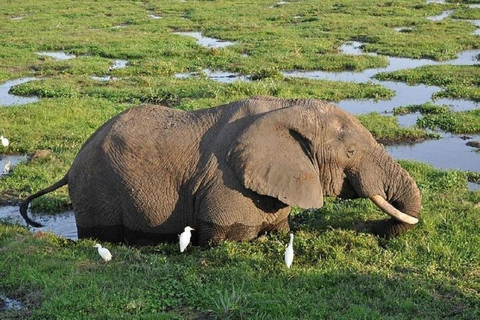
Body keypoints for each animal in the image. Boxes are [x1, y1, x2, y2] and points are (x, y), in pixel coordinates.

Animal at [20, 95, 422, 245]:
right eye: (350, 152)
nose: (377, 230)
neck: (286, 108)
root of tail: (73, 162)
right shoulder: (226, 183)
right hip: (96, 189)